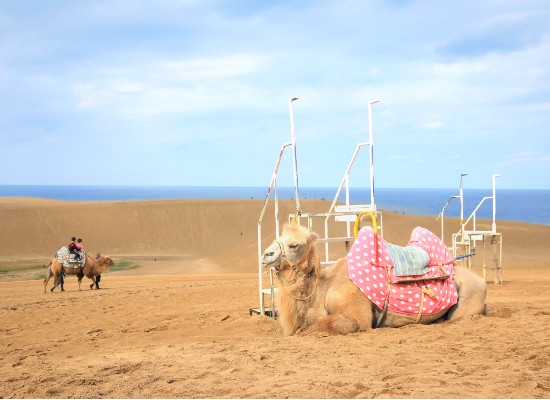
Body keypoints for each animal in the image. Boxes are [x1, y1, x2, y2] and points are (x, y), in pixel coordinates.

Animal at [262, 223, 488, 336]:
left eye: (294, 245)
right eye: (277, 238)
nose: (266, 255)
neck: (323, 289)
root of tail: (483, 281)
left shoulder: (359, 318)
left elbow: (321, 325)